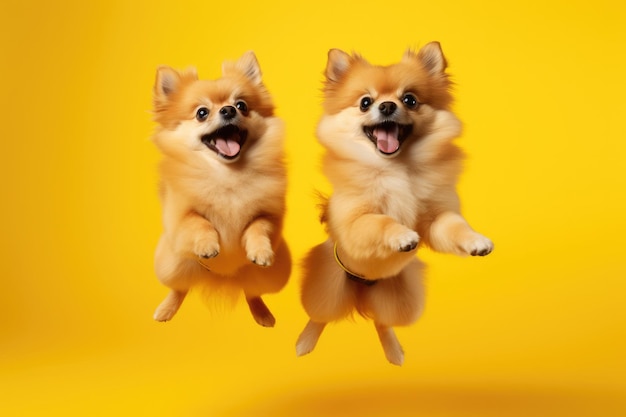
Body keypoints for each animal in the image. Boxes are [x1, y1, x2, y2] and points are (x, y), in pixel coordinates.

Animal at [150, 51, 288, 324]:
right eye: (202, 112)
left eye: (241, 105)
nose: (227, 109)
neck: (227, 174)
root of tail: (225, 278)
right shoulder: (179, 217)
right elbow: (198, 222)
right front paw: (207, 245)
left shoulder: (268, 215)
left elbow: (258, 227)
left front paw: (261, 251)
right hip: (173, 264)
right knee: (179, 288)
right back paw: (166, 309)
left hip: (273, 274)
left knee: (251, 291)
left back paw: (262, 313)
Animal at [296, 40, 492, 362]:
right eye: (365, 102)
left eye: (410, 100)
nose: (387, 105)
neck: (396, 169)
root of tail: (361, 291)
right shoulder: (353, 225)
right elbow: (381, 220)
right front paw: (402, 236)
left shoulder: (436, 218)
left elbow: (454, 226)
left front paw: (476, 240)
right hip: (327, 288)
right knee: (321, 315)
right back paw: (305, 341)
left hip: (401, 299)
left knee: (382, 320)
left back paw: (393, 350)